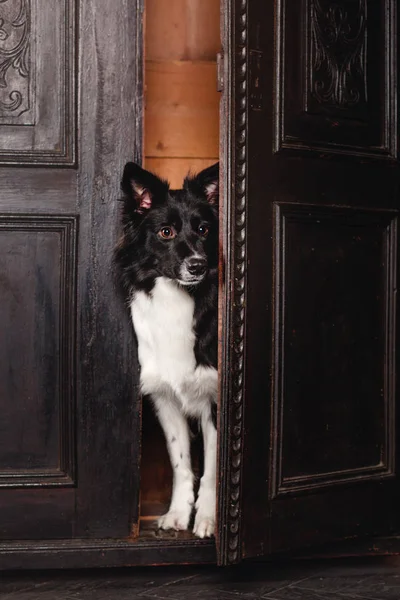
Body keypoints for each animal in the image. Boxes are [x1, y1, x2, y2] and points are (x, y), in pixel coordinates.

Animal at [115, 162, 219, 536]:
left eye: (204, 229)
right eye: (165, 232)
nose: (198, 266)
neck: (177, 298)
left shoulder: (214, 400)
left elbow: (213, 469)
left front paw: (207, 517)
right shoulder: (165, 398)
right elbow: (181, 462)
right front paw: (177, 513)